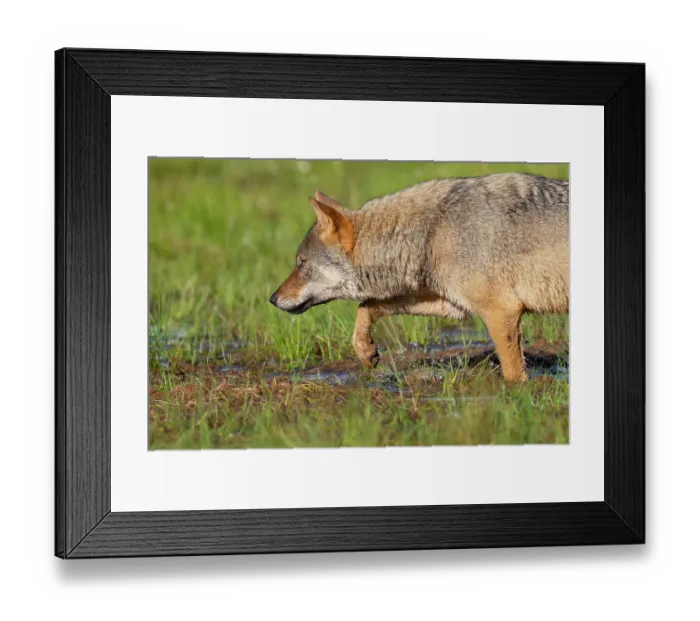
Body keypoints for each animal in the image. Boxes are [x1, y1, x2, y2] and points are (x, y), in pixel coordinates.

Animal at [269, 173, 569, 382]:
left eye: (301, 263)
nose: (272, 299)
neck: (433, 229)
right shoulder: (452, 305)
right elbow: (366, 306)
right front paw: (365, 350)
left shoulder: (502, 311)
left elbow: (514, 375)